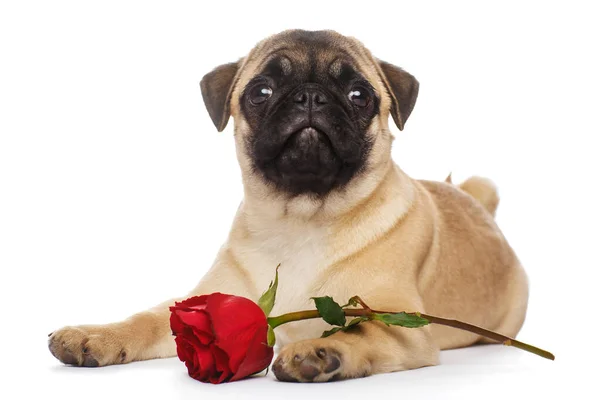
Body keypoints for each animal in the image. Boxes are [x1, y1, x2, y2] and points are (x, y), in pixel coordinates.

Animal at [49, 30, 528, 382]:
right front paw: (94, 335)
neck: (302, 218)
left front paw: (322, 350)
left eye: (360, 95)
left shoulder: (402, 325)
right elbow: (147, 319)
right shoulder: (204, 306)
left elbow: (363, 328)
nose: (311, 96)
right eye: (260, 91)